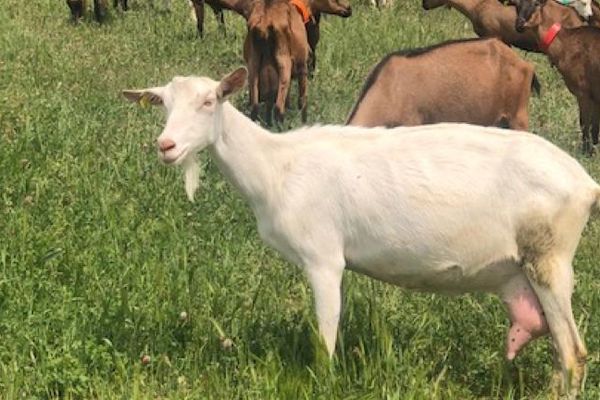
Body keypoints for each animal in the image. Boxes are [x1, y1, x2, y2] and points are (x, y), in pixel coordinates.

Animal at [122, 67, 600, 398]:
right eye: (163, 104)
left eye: (210, 101)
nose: (166, 146)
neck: (277, 166)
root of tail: (586, 184)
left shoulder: (323, 258)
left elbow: (325, 335)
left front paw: (324, 381)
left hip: (549, 258)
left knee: (574, 355)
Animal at [516, 0, 600, 153]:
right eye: (516, 3)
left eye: (536, 3)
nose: (519, 24)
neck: (566, 43)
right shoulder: (595, 96)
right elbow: (595, 128)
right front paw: (593, 151)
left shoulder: (583, 92)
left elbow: (584, 124)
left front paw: (585, 152)